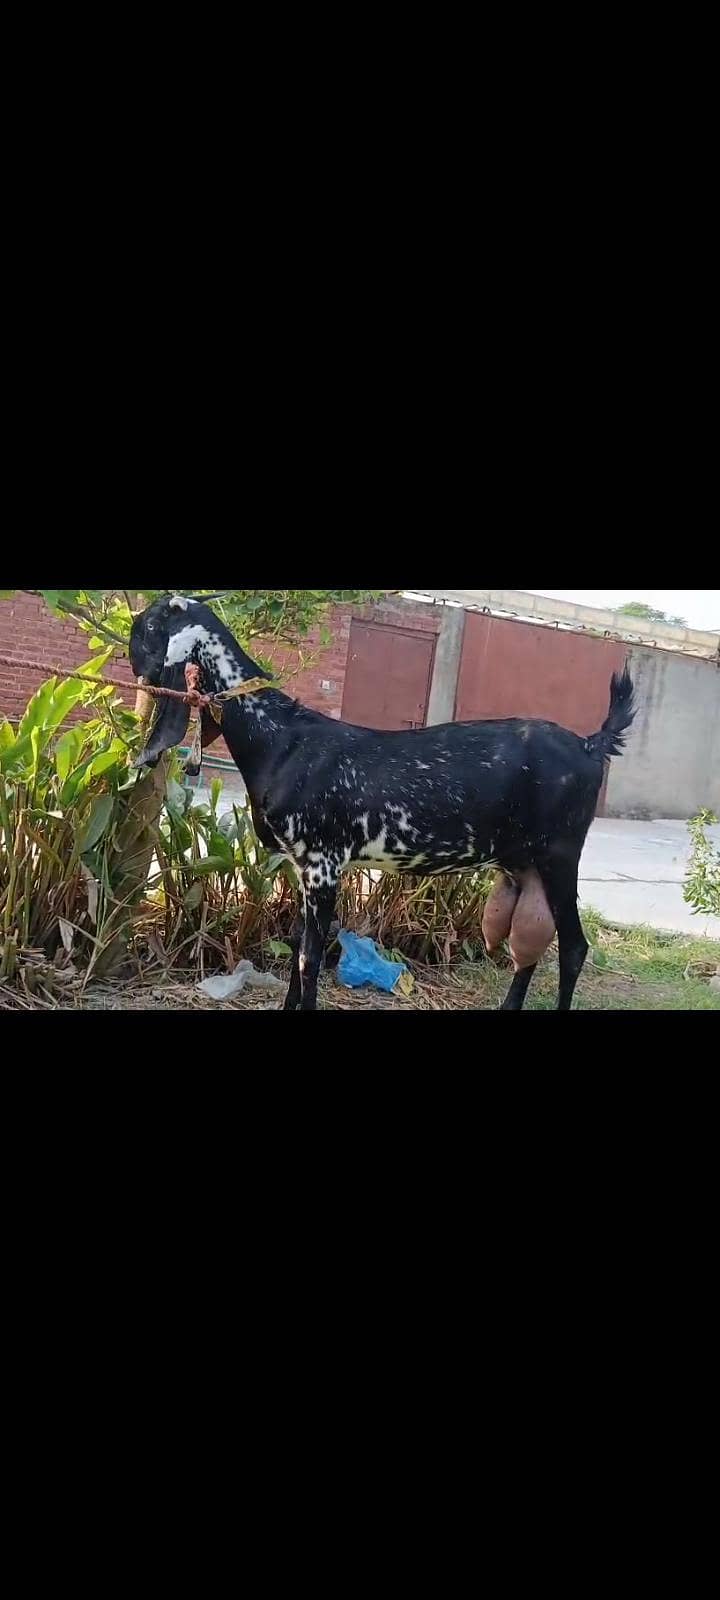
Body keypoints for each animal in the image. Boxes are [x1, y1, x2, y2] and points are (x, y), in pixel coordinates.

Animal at [129, 595, 635, 1011]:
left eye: (149, 625)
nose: (138, 673)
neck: (282, 739)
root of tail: (590, 745)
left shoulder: (324, 864)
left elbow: (310, 958)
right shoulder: (301, 867)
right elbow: (296, 948)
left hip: (559, 854)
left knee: (573, 947)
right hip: (523, 865)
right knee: (526, 943)